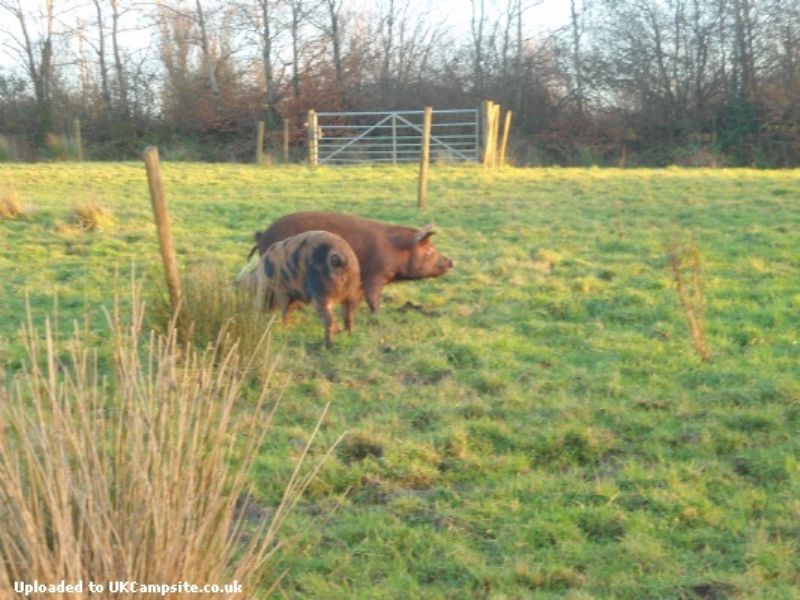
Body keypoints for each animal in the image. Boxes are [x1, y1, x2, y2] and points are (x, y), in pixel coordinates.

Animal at [247, 212, 454, 314]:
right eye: (429, 250)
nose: (451, 261)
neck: (395, 252)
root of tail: (262, 235)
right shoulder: (374, 274)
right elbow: (373, 298)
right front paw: (378, 317)